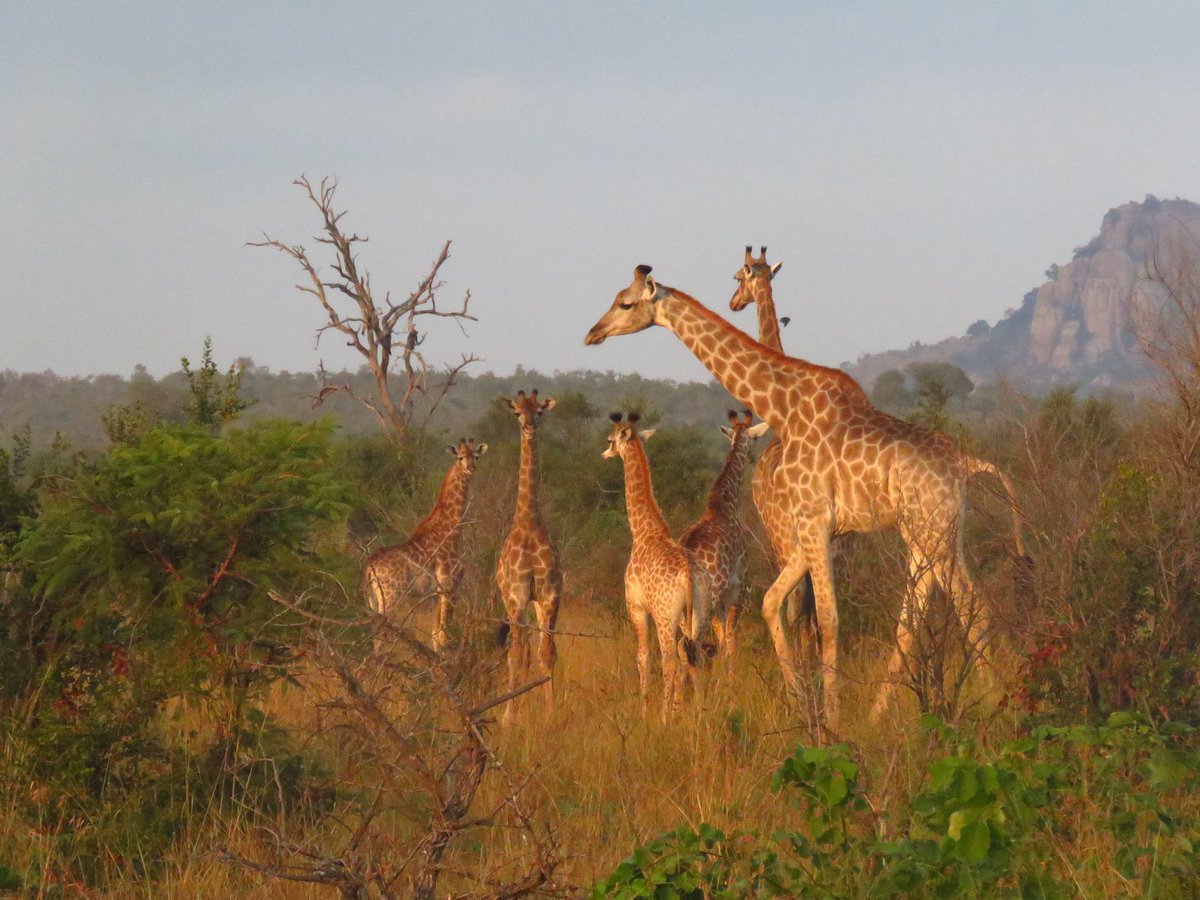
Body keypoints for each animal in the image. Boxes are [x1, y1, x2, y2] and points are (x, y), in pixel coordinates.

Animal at [360, 436, 487, 648]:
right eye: (460, 457)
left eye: (476, 456)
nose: (471, 468)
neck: (451, 530)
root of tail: (369, 567)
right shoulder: (450, 586)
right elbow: (444, 633)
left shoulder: (435, 593)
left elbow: (436, 634)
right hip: (391, 595)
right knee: (380, 636)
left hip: (373, 599)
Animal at [600, 412, 710, 724]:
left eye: (611, 439)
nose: (604, 453)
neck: (644, 530)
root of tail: (688, 575)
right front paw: (675, 709)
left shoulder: (636, 606)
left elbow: (642, 657)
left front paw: (644, 712)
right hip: (698, 613)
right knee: (694, 654)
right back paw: (699, 715)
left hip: (665, 615)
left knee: (669, 659)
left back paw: (663, 719)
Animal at [686, 412, 768, 657]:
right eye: (756, 438)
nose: (752, 457)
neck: (724, 504)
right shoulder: (739, 584)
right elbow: (730, 638)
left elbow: (723, 638)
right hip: (707, 602)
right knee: (696, 645)